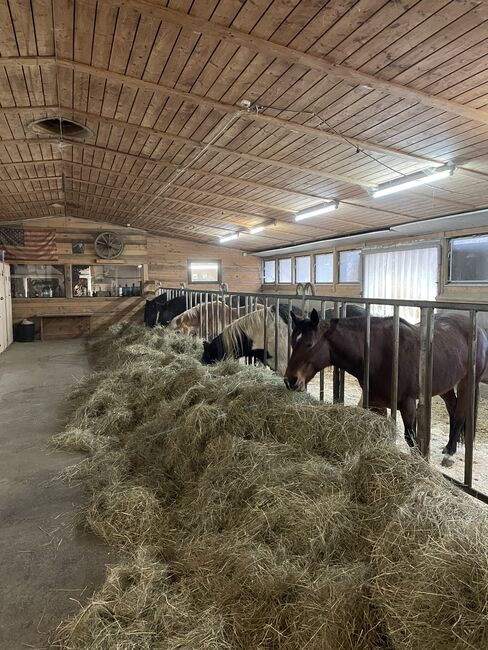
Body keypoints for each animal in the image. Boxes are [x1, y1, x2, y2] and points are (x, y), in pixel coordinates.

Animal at [284, 310, 486, 458]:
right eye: (293, 342)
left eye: (310, 344)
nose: (290, 380)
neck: (379, 354)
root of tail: (479, 331)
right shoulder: (376, 404)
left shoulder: (408, 403)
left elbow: (410, 438)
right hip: (445, 384)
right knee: (452, 406)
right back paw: (451, 445)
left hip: (467, 382)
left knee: (460, 413)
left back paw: (450, 451)